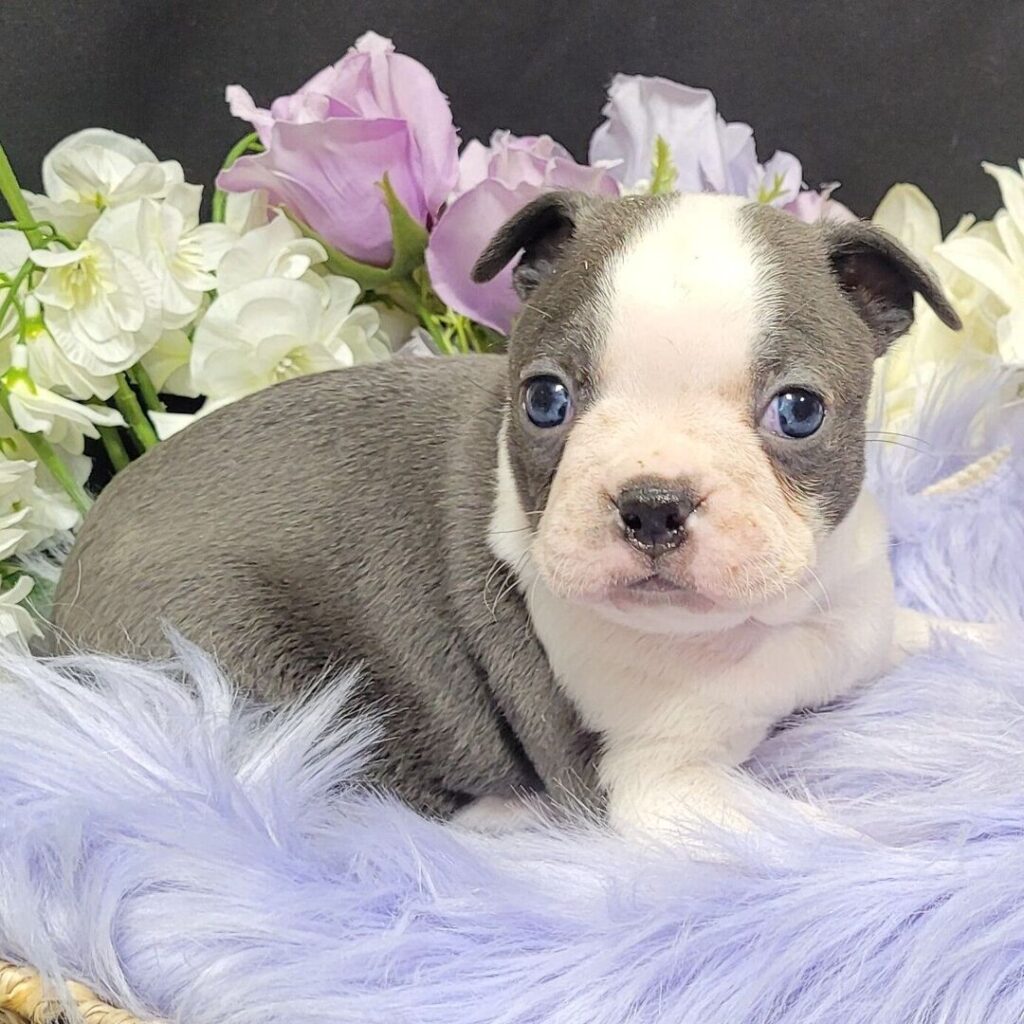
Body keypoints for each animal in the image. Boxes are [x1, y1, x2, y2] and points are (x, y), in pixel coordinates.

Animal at [51, 190, 963, 837]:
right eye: (545, 400)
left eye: (799, 412)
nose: (652, 502)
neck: (767, 622)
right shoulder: (662, 788)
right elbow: (831, 844)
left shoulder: (859, 617)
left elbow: (934, 636)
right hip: (244, 655)